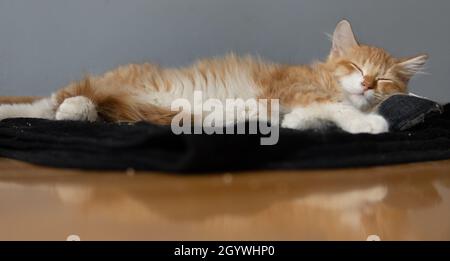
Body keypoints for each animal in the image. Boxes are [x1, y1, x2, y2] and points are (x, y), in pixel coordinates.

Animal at [0, 19, 426, 134]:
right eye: (356, 68)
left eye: (383, 80)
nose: (367, 84)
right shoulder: (293, 90)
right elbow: (337, 108)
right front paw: (369, 123)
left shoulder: (285, 105)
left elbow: (306, 118)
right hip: (106, 84)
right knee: (49, 102)